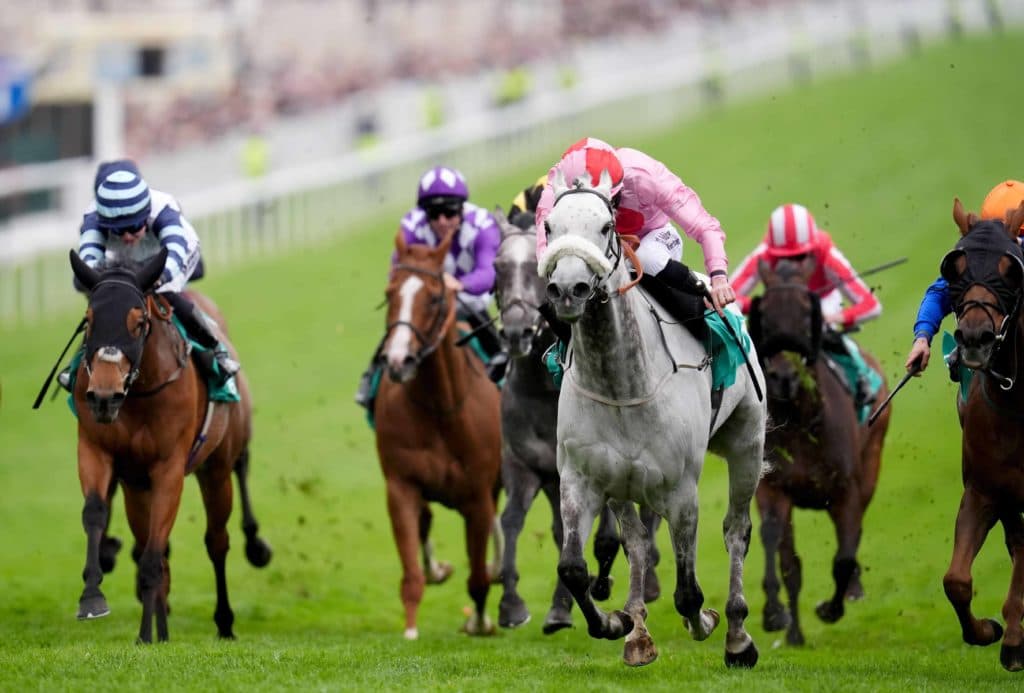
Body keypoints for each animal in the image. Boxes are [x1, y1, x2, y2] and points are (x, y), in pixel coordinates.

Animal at [68, 249, 272, 643]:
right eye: (89, 321)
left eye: (138, 322)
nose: (104, 396)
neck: (140, 393)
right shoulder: (102, 454)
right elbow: (96, 513)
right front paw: (93, 598)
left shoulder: (169, 468)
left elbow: (154, 555)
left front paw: (146, 634)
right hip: (139, 489)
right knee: (157, 548)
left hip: (216, 469)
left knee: (217, 540)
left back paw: (225, 621)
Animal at [373, 229, 503, 639]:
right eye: (390, 294)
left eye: (433, 297)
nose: (398, 360)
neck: (440, 409)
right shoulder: (400, 486)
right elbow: (411, 572)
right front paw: (411, 630)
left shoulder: (478, 496)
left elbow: (477, 578)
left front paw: (479, 621)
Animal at [490, 209, 661, 634]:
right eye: (498, 267)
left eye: (535, 270)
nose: (516, 332)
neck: (540, 388)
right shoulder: (523, 463)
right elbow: (513, 521)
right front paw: (513, 604)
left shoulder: (596, 467)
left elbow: (604, 536)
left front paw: (587, 591)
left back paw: (647, 579)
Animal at [539, 171, 767, 668]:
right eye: (548, 227)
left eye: (606, 225)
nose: (567, 290)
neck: (621, 384)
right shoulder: (581, 479)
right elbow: (572, 567)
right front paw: (615, 623)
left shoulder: (681, 490)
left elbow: (688, 592)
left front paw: (707, 622)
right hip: (622, 485)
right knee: (638, 542)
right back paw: (637, 631)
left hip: (747, 441)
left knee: (736, 531)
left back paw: (738, 635)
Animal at [746, 256, 891, 645]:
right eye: (764, 313)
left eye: (804, 311)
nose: (784, 376)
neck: (800, 422)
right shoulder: (774, 488)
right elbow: (786, 560)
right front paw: (783, 622)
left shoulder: (846, 490)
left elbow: (843, 557)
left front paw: (831, 607)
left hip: (871, 463)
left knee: (853, 537)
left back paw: (853, 590)